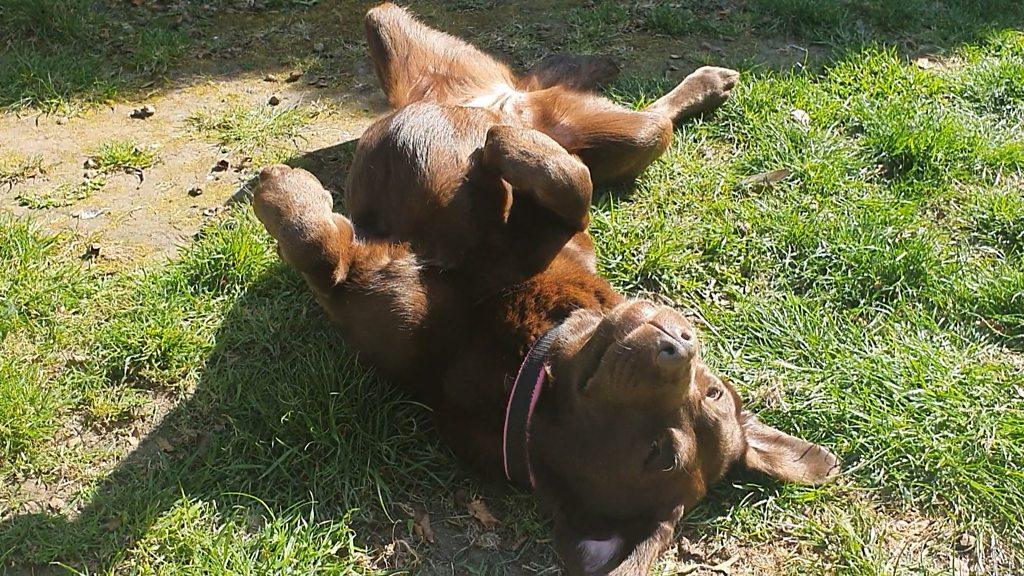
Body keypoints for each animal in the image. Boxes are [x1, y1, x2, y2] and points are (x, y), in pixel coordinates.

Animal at [249, 3, 839, 569]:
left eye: (659, 454)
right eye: (712, 390)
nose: (680, 343)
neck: (512, 330)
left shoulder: (366, 303)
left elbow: (320, 253)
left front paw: (281, 192)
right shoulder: (558, 231)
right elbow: (574, 185)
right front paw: (505, 147)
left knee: (640, 121)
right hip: (576, 120)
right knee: (624, 118)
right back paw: (621, 74)